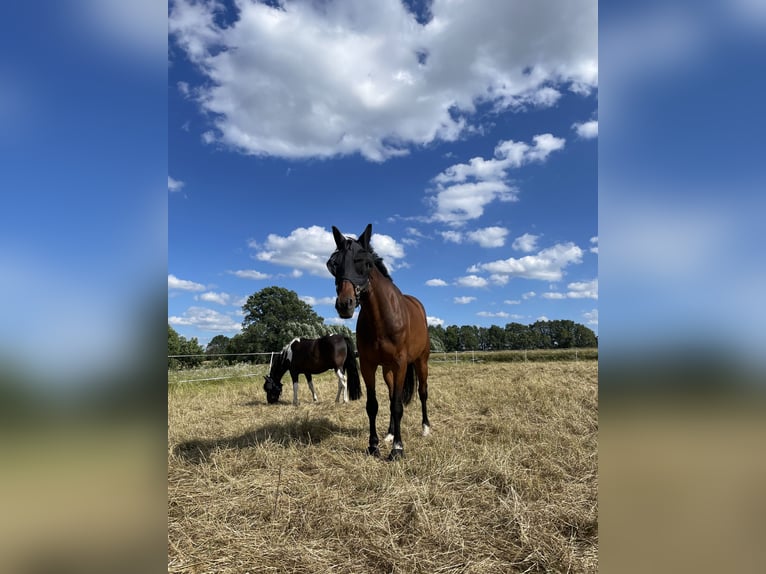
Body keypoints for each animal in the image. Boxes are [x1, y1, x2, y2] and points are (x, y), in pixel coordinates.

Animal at [326, 224, 430, 460]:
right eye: (333, 264)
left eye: (366, 264)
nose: (345, 304)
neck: (382, 319)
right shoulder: (369, 365)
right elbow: (373, 405)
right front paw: (373, 446)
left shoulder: (401, 364)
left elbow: (398, 406)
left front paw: (398, 449)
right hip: (387, 370)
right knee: (392, 396)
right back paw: (390, 434)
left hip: (421, 362)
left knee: (422, 393)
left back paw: (425, 428)